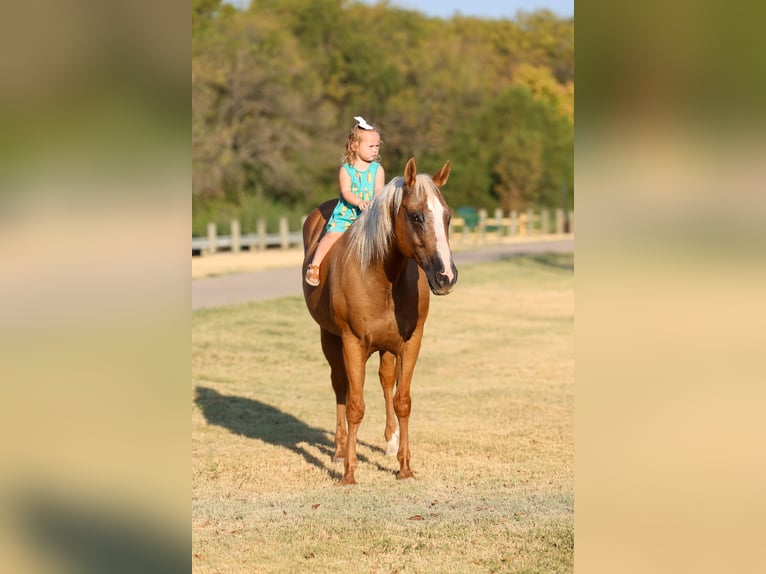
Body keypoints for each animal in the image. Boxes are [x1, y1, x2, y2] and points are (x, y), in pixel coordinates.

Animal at [302, 157, 458, 485]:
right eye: (415, 216)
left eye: (447, 216)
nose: (446, 276)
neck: (380, 276)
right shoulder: (351, 343)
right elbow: (355, 405)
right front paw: (349, 473)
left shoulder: (410, 342)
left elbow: (402, 401)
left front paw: (404, 466)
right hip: (329, 336)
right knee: (340, 386)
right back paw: (339, 449)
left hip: (386, 346)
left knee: (386, 382)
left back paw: (390, 442)